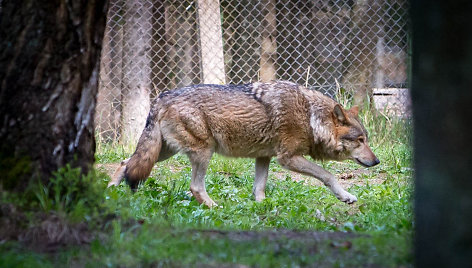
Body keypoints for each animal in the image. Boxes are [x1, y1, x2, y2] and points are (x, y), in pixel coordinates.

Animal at [108, 81, 380, 207]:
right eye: (360, 140)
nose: (376, 161)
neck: (311, 116)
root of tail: (161, 97)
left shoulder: (264, 157)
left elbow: (259, 188)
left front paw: (262, 207)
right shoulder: (288, 158)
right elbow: (328, 175)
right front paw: (346, 196)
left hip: (164, 151)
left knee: (125, 162)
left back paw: (110, 192)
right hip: (203, 152)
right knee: (195, 186)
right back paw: (215, 207)